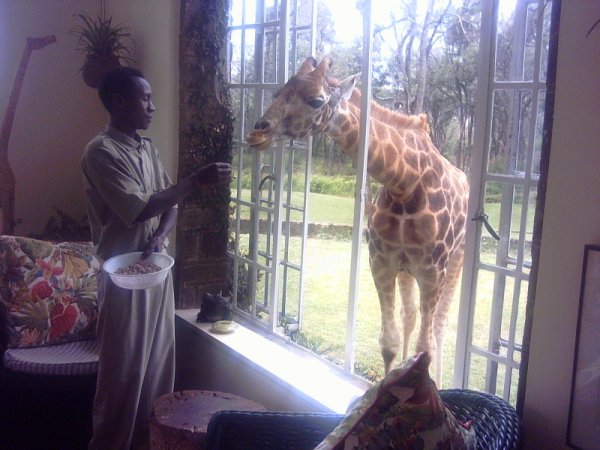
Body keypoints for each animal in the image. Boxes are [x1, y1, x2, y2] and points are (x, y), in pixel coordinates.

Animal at [245, 55, 468, 384]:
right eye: (277, 93)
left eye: (316, 100)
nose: (257, 134)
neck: (405, 185)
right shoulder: (381, 262)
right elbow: (388, 342)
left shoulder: (432, 271)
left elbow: (424, 346)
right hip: (406, 271)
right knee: (410, 316)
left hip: (456, 261)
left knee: (439, 323)